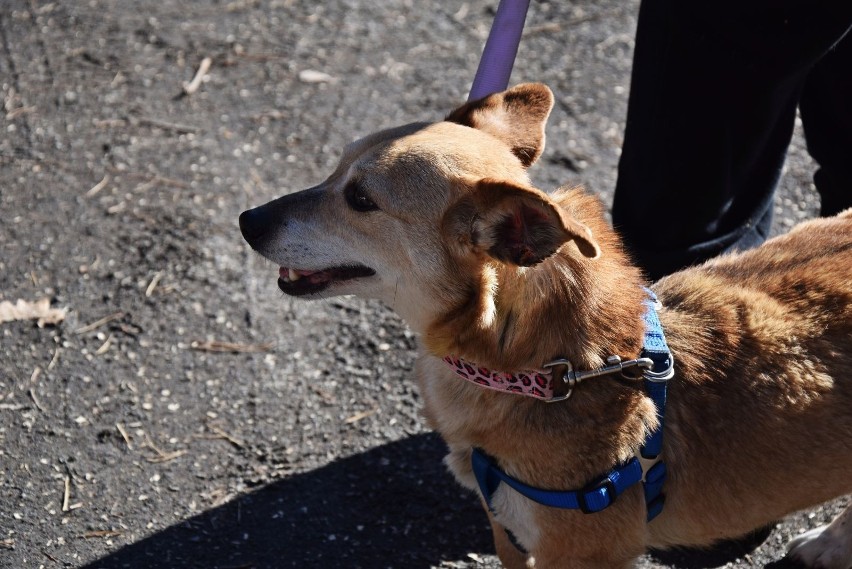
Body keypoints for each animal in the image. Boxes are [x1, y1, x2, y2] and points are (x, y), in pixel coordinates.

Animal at [238, 82, 852, 564]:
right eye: (335, 168)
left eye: (361, 199)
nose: (247, 219)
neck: (551, 370)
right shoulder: (504, 523)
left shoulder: (576, 552)